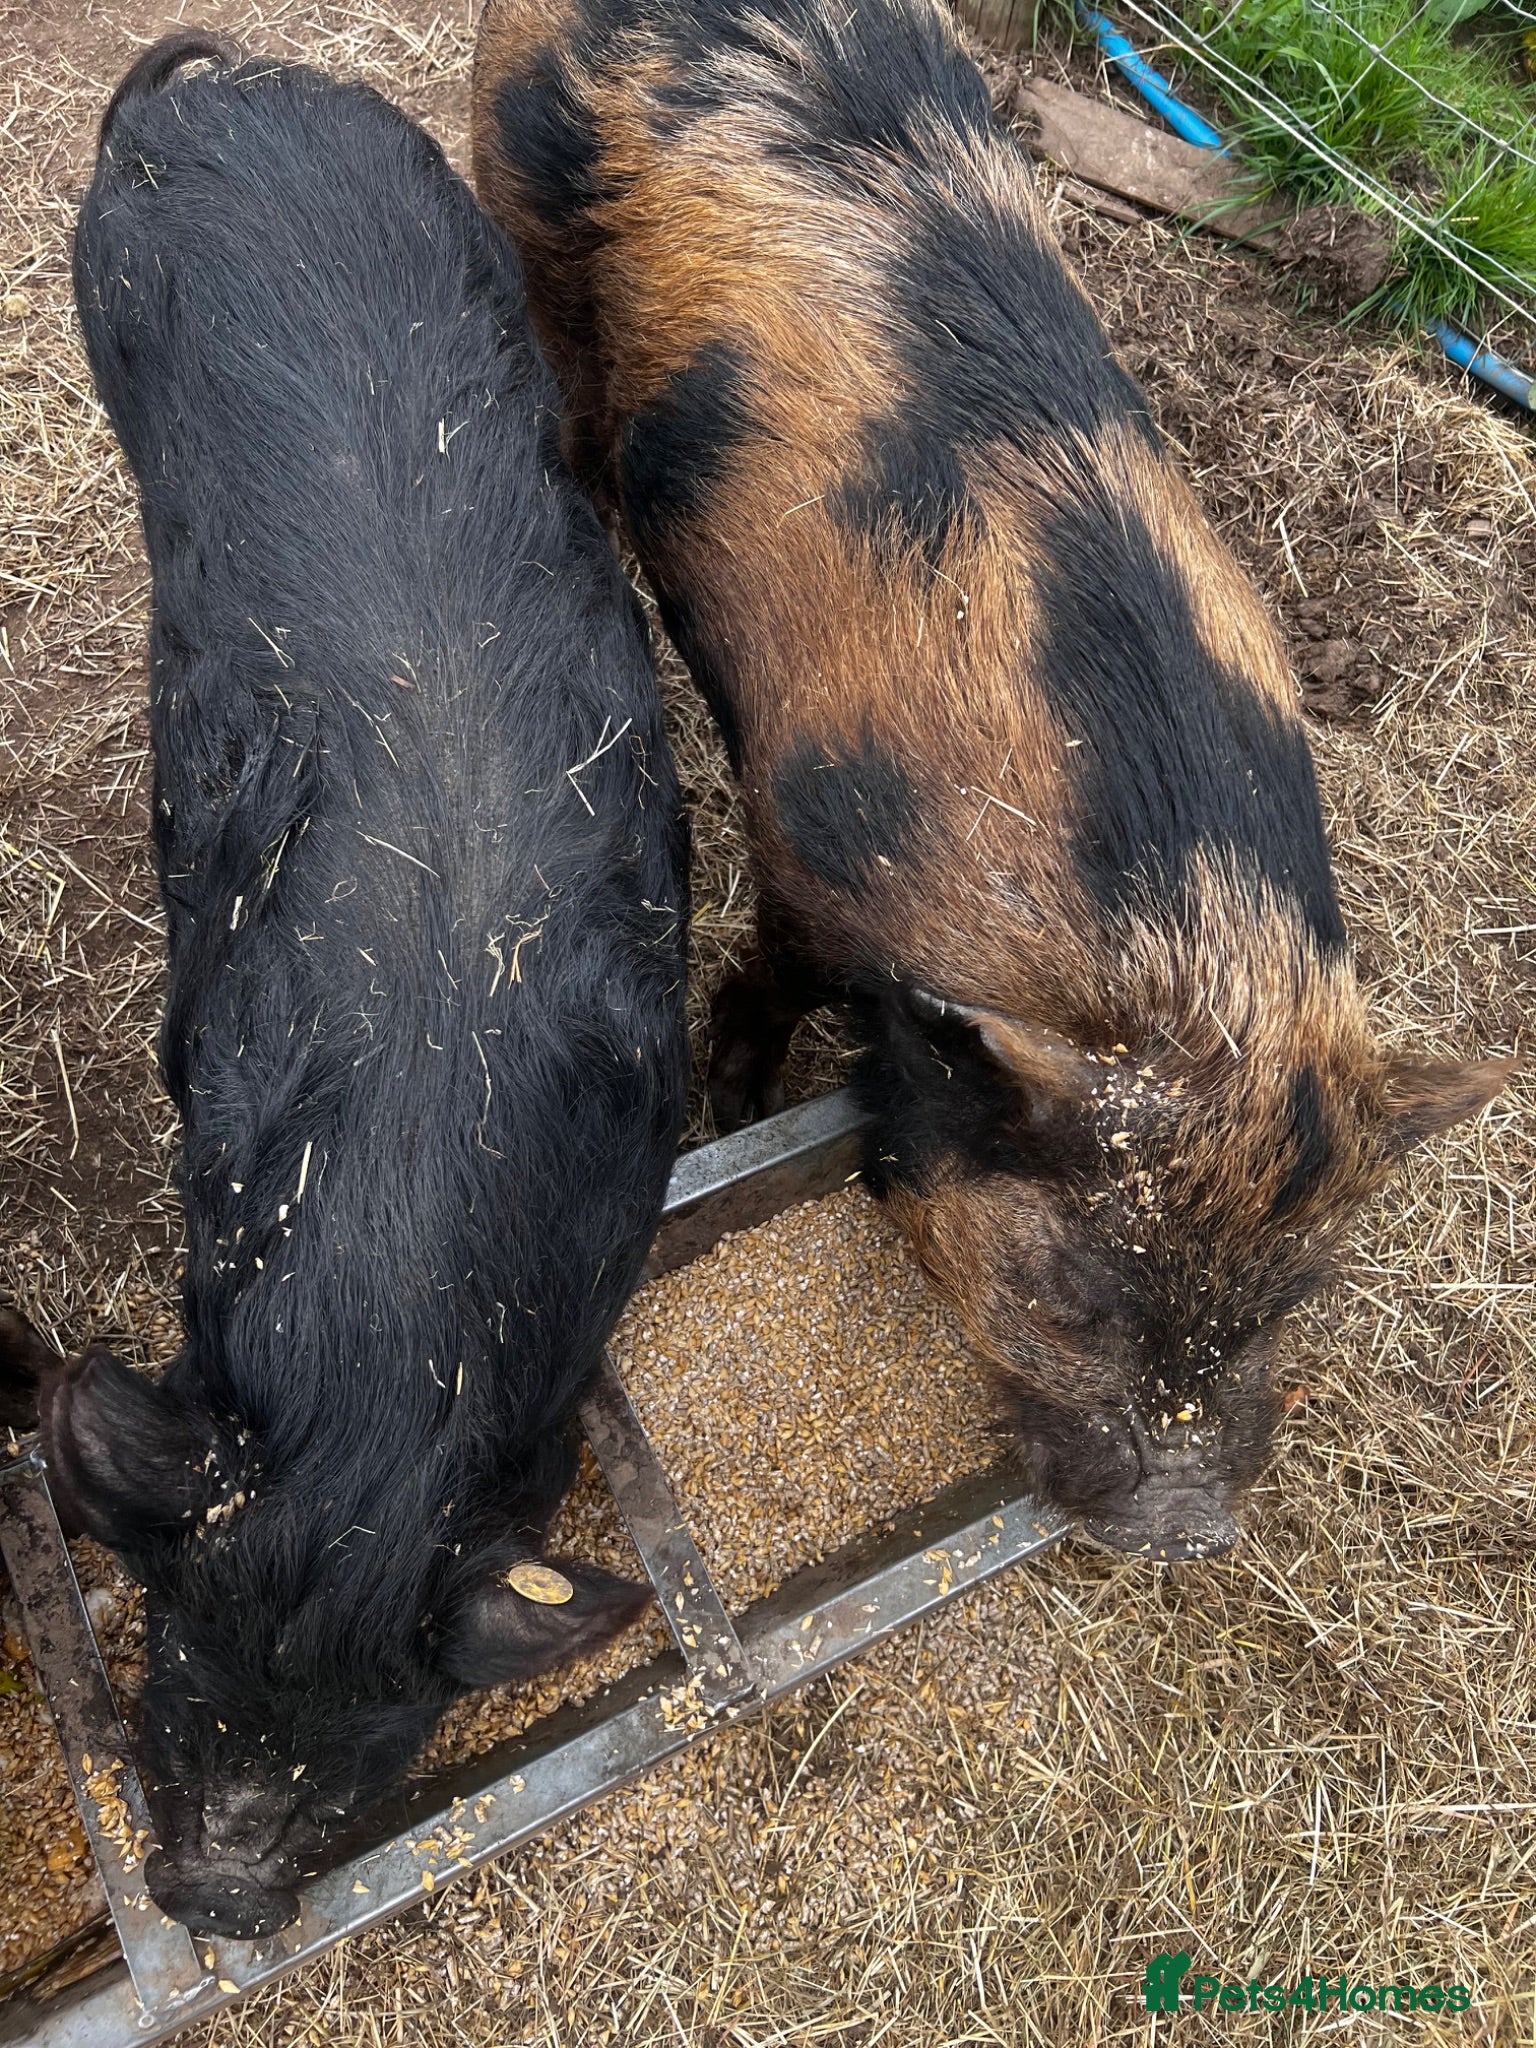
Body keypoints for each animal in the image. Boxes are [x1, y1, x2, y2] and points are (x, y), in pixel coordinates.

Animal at [471, 0, 1512, 1561]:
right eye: (1080, 1290)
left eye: (1292, 1297)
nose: (1185, 1529)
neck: (1167, 949)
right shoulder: (803, 860)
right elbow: (756, 996)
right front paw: (734, 1115)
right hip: (519, 205)